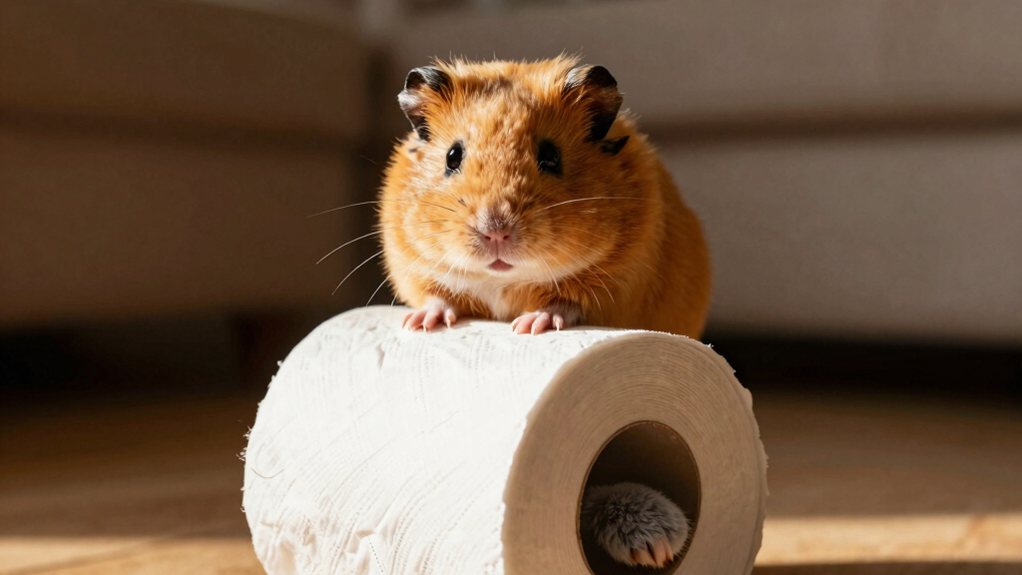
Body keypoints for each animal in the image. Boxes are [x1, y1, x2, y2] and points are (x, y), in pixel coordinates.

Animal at [378, 57, 710, 568]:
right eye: (453, 156)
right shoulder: (408, 261)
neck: (502, 280)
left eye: (550, 156)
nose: (495, 230)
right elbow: (436, 294)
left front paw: (531, 325)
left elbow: (566, 302)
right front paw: (424, 322)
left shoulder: (614, 281)